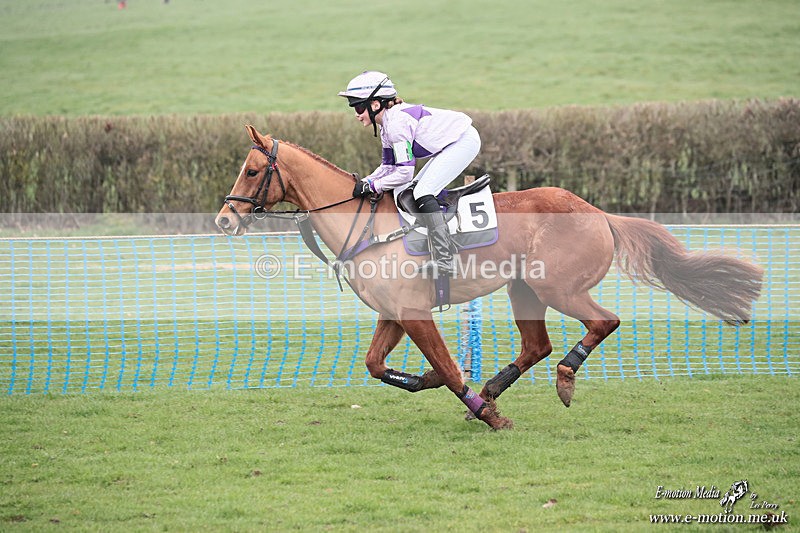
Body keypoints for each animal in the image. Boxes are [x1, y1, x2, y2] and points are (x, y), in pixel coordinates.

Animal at [215, 125, 763, 430]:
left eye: (250, 171)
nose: (224, 220)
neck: (368, 226)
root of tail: (599, 213)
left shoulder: (414, 313)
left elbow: (448, 368)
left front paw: (489, 416)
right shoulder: (395, 314)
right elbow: (377, 365)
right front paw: (436, 382)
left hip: (557, 287)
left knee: (603, 322)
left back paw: (563, 378)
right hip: (525, 290)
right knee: (537, 345)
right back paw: (502, 385)